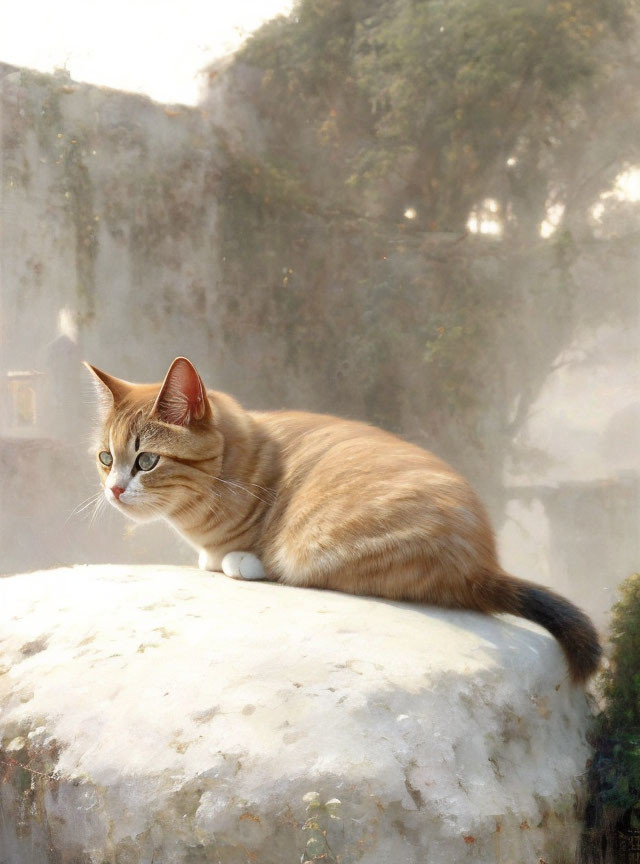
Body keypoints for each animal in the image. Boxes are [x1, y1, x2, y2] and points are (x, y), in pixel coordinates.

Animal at [84, 356, 600, 680]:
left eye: (147, 460)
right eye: (107, 459)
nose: (114, 490)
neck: (238, 462)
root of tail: (485, 565)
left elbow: (237, 556)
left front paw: (231, 559)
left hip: (319, 547)